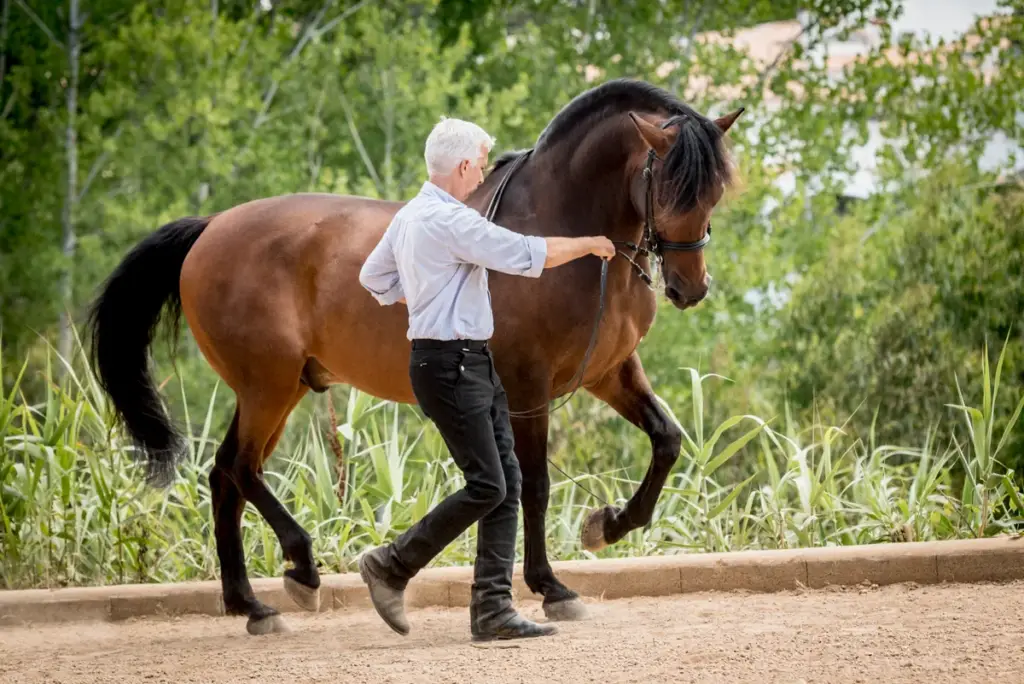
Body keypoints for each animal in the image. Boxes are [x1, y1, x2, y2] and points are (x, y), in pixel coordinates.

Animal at [88, 78, 742, 635]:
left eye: (714, 191)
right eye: (668, 186)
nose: (690, 287)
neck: (564, 233)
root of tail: (211, 227)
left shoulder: (608, 372)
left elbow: (666, 440)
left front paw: (607, 526)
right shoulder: (527, 390)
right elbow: (533, 485)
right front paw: (551, 587)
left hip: (280, 388)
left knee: (225, 475)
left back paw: (250, 604)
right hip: (266, 387)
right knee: (240, 470)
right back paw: (300, 570)